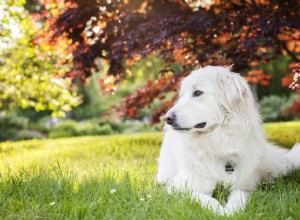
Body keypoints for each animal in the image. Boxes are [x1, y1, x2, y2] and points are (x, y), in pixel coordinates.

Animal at [157, 66, 300, 216]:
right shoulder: (178, 188)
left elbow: (239, 196)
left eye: (198, 93)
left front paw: (231, 211)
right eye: (182, 96)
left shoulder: (243, 186)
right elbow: (204, 198)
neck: (218, 143)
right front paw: (218, 210)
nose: (167, 118)